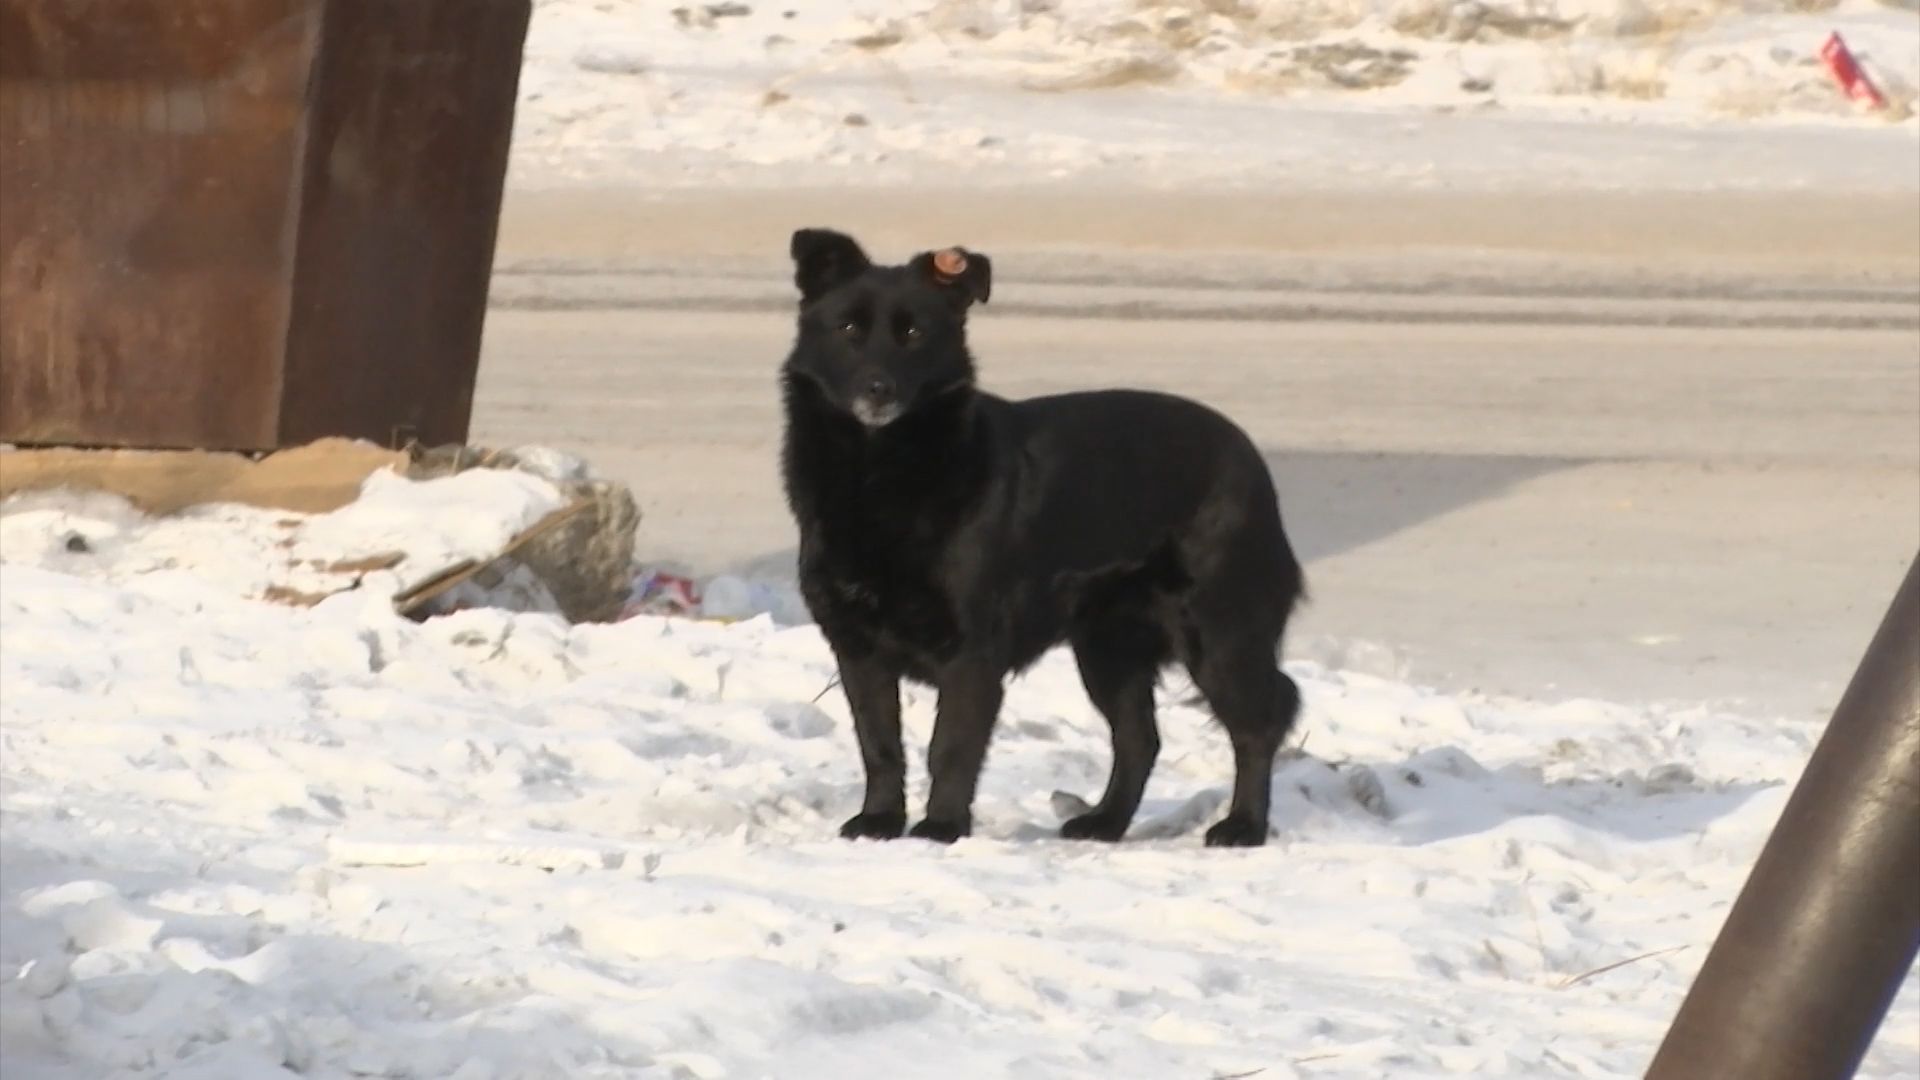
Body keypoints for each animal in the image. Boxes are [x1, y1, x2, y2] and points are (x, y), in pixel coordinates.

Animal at [779, 231, 1305, 845]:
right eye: (848, 329)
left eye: (913, 334)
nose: (878, 389)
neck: (882, 471)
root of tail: (1249, 456)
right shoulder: (857, 649)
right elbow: (879, 744)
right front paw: (881, 820)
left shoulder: (973, 654)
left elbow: (950, 747)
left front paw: (941, 827)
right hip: (1108, 648)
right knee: (1139, 739)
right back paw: (1105, 822)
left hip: (1219, 632)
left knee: (1258, 725)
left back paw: (1243, 826)